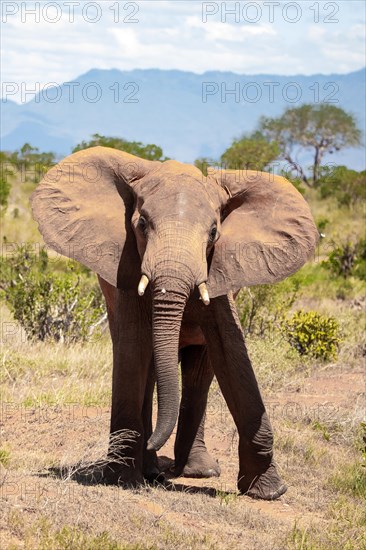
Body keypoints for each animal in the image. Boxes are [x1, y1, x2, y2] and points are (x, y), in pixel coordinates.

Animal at [30, 149, 318, 502]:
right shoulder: (127, 263)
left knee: (199, 372)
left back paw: (195, 471)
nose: (154, 440)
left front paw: (270, 492)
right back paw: (153, 468)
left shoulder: (218, 272)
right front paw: (123, 479)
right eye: (141, 224)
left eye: (214, 233)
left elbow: (232, 353)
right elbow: (132, 349)